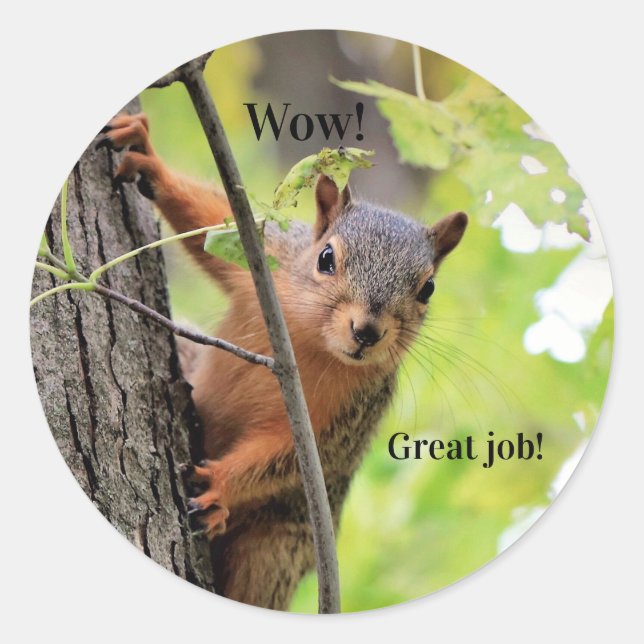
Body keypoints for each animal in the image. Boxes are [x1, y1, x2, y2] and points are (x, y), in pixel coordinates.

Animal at [98, 112, 468, 610]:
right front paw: (146, 156)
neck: (309, 342)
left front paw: (219, 485)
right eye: (326, 257)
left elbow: (287, 455)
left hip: (274, 550)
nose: (367, 332)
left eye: (427, 288)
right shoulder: (269, 261)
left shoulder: (346, 416)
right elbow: (211, 224)